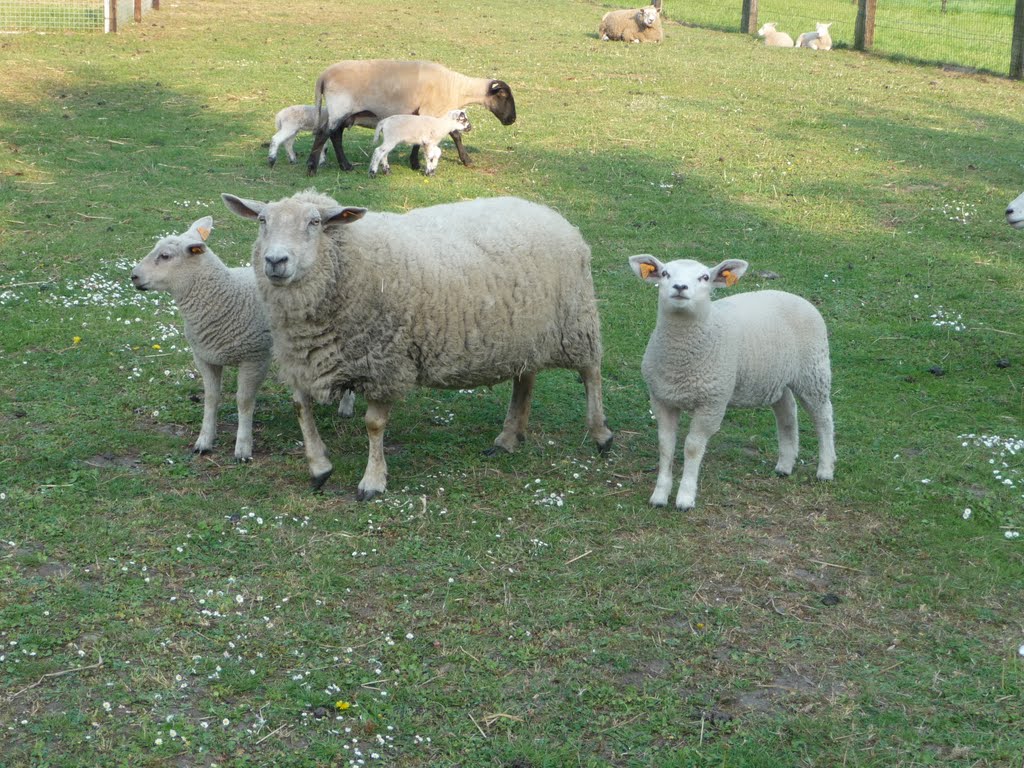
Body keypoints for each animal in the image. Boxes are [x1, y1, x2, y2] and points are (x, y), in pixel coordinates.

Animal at [130, 217, 358, 460]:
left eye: (165, 256)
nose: (134, 276)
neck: (224, 296)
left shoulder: (255, 358)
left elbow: (244, 401)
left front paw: (243, 447)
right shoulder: (204, 357)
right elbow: (211, 398)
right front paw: (204, 441)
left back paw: (346, 407)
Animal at [222, 188, 614, 499]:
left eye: (315, 223)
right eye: (262, 220)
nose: (275, 260)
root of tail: (549, 212)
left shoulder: (385, 362)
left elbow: (374, 425)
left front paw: (372, 481)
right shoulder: (303, 358)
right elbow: (301, 409)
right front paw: (319, 467)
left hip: (576, 321)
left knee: (591, 372)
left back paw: (601, 435)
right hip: (523, 334)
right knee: (526, 379)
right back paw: (507, 438)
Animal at [301, 60, 512, 176]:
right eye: (504, 96)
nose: (511, 120)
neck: (456, 87)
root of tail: (323, 76)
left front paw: (415, 162)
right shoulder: (432, 110)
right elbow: (455, 135)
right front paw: (465, 160)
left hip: (344, 113)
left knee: (335, 135)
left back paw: (345, 166)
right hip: (340, 108)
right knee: (324, 134)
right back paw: (312, 168)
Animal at [626, 253, 835, 512]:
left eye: (705, 277)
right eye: (665, 273)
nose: (680, 287)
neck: (681, 358)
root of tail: (796, 297)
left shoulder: (712, 403)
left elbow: (693, 447)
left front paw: (685, 498)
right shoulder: (661, 399)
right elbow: (666, 445)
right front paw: (659, 495)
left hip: (813, 372)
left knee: (823, 417)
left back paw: (825, 469)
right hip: (775, 376)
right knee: (787, 412)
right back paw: (785, 466)